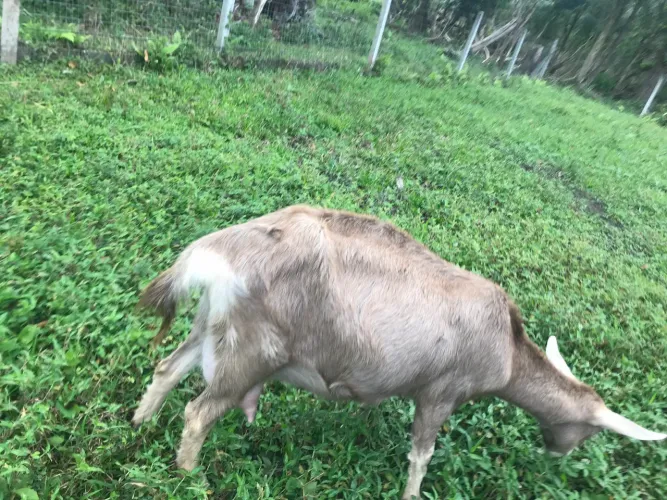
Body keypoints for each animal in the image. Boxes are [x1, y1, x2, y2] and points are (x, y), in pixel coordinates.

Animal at [132, 205, 665, 499]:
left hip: (211, 323)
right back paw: (187, 477)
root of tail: (216, 253)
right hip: (252, 350)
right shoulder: (441, 392)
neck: (508, 348)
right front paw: (411, 496)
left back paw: (139, 424)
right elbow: (421, 455)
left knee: (166, 369)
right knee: (199, 413)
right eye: (589, 433)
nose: (556, 452)